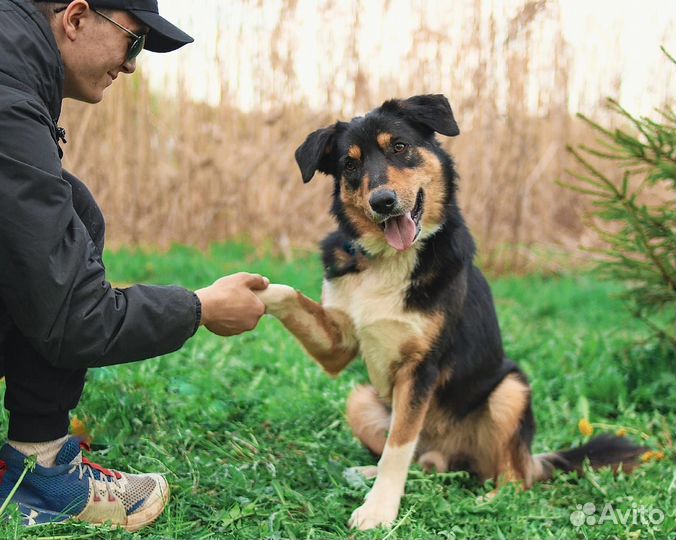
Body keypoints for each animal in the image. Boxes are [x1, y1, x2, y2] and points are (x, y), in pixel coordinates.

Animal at [256, 94, 648, 532]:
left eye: (399, 147)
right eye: (350, 165)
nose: (382, 202)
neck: (391, 258)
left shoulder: (421, 368)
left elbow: (398, 447)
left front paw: (379, 510)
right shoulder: (338, 345)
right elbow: (289, 295)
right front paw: (244, 293)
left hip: (511, 389)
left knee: (513, 478)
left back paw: (488, 499)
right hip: (360, 400)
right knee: (417, 459)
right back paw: (373, 471)